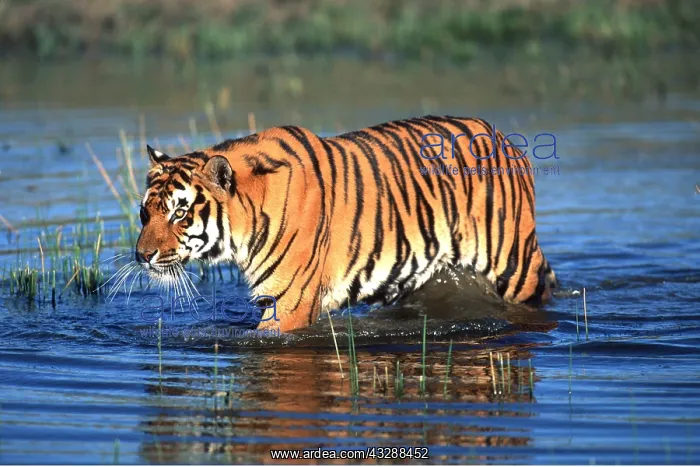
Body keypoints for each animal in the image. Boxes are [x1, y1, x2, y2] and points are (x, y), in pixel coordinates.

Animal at [135, 115, 558, 332]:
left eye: (179, 213)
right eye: (145, 213)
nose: (142, 256)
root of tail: (508, 142)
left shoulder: (290, 302)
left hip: (514, 265)